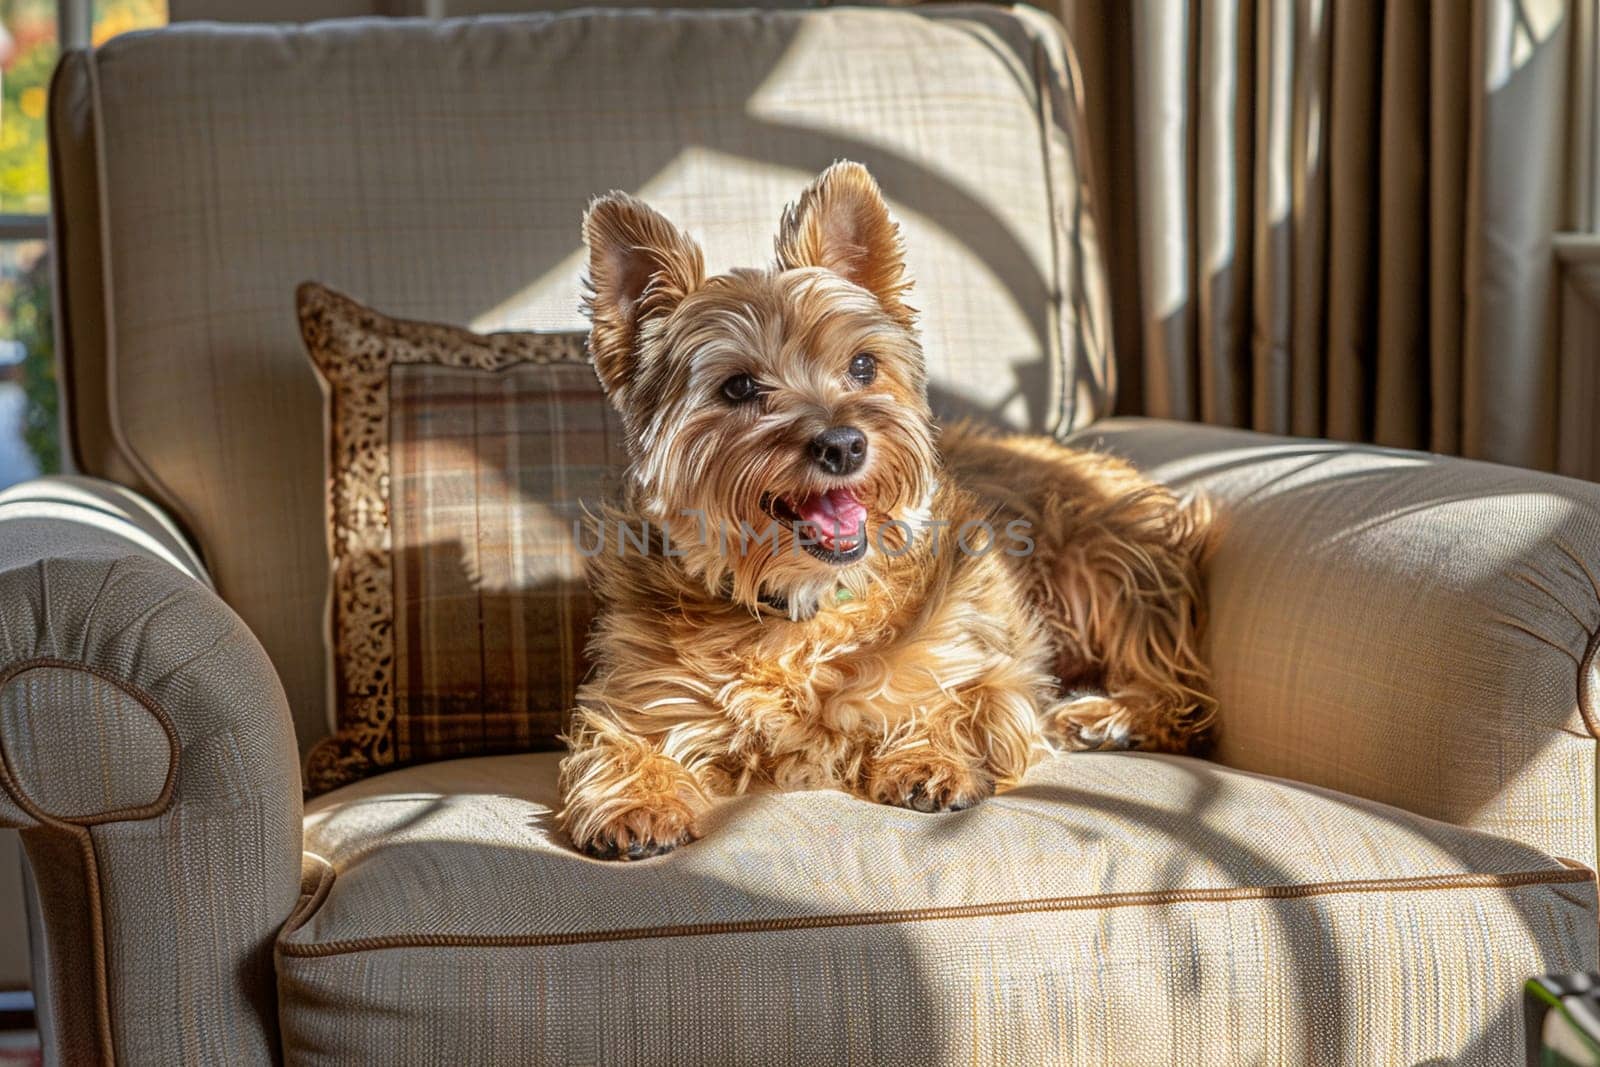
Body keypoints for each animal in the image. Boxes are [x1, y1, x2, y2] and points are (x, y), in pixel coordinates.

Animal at [563, 160, 1209, 857]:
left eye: (862, 365)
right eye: (737, 386)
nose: (844, 443)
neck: (803, 608)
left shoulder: (988, 661)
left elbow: (963, 702)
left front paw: (927, 754)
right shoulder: (641, 692)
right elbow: (625, 737)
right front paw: (640, 800)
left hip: (1104, 553)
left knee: (1175, 689)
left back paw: (1108, 715)